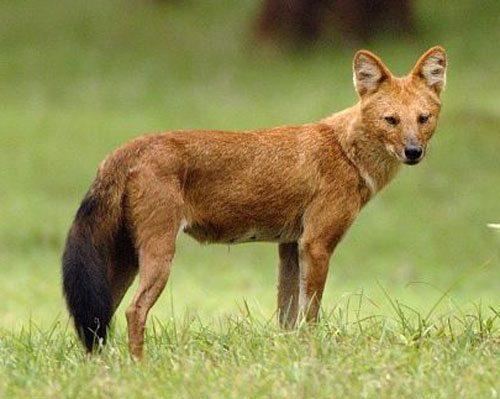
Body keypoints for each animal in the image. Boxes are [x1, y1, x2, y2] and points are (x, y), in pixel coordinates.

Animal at [63, 47, 450, 360]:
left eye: (423, 118)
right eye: (391, 120)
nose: (413, 151)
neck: (346, 151)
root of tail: (129, 147)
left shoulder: (290, 245)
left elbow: (286, 317)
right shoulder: (316, 244)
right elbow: (310, 315)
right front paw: (312, 355)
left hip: (125, 261)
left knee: (97, 317)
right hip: (158, 255)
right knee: (133, 311)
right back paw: (139, 367)